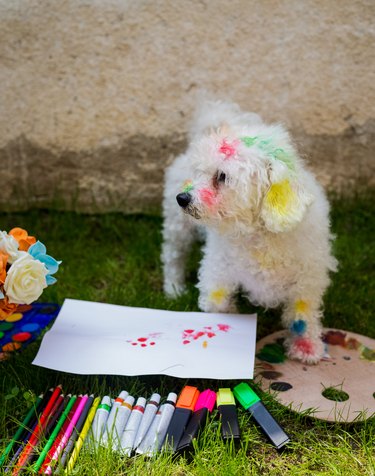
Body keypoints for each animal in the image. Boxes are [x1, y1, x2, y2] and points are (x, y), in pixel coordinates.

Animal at [162, 99, 338, 360]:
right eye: (199, 173)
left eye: (222, 176)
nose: (182, 198)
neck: (259, 236)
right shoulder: (217, 271)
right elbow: (217, 302)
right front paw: (231, 317)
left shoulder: (308, 279)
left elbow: (303, 314)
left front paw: (307, 347)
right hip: (178, 227)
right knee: (173, 256)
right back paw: (174, 288)